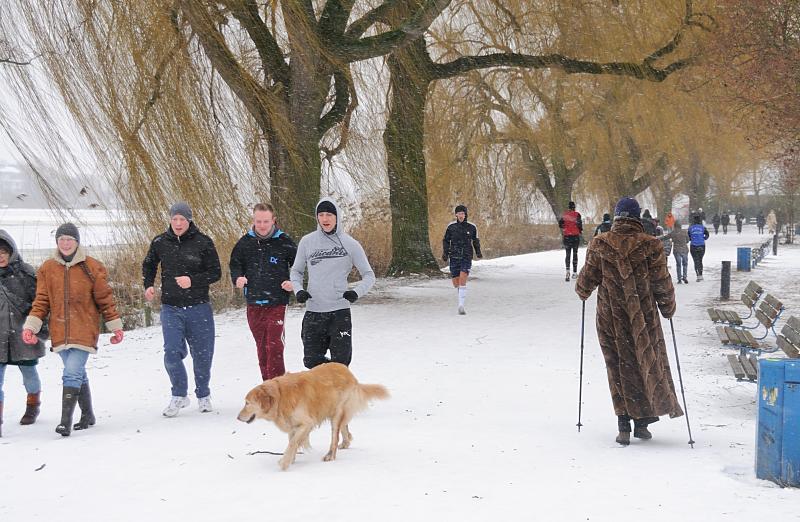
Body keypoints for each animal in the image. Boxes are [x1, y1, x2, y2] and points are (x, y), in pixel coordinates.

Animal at [236, 362, 390, 468]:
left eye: (247, 403)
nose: (237, 418)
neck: (280, 395)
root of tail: (348, 372)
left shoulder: (306, 423)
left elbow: (293, 442)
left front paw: (285, 462)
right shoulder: (293, 425)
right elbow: (292, 441)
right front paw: (291, 459)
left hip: (336, 415)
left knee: (334, 438)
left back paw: (330, 455)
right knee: (345, 427)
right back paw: (346, 442)